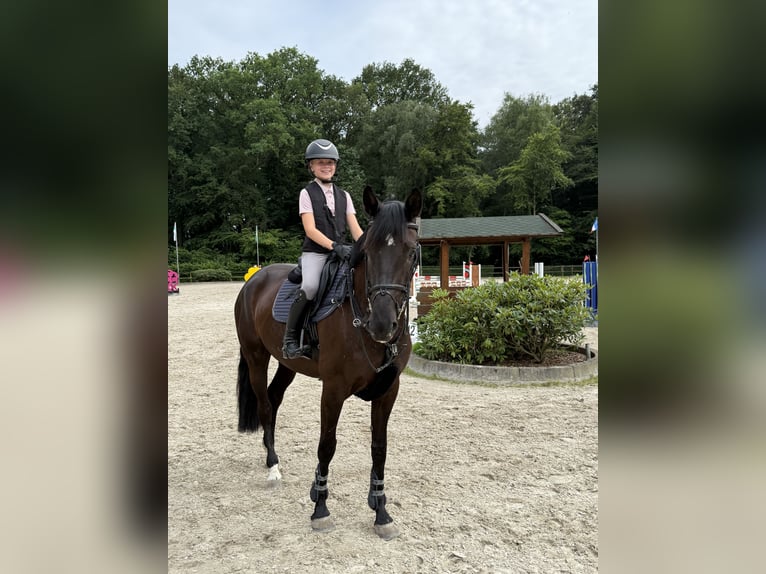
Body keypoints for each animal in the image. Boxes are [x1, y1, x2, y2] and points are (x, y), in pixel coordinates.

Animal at [234, 186, 422, 540]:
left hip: (287, 364)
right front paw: (320, 507)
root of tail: (254, 278)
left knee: (274, 398)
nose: (382, 325)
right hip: (256, 357)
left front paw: (381, 511)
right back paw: (272, 466)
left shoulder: (389, 391)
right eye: (368, 253)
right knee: (264, 404)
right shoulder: (333, 390)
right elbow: (327, 445)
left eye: (410, 253)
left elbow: (379, 447)